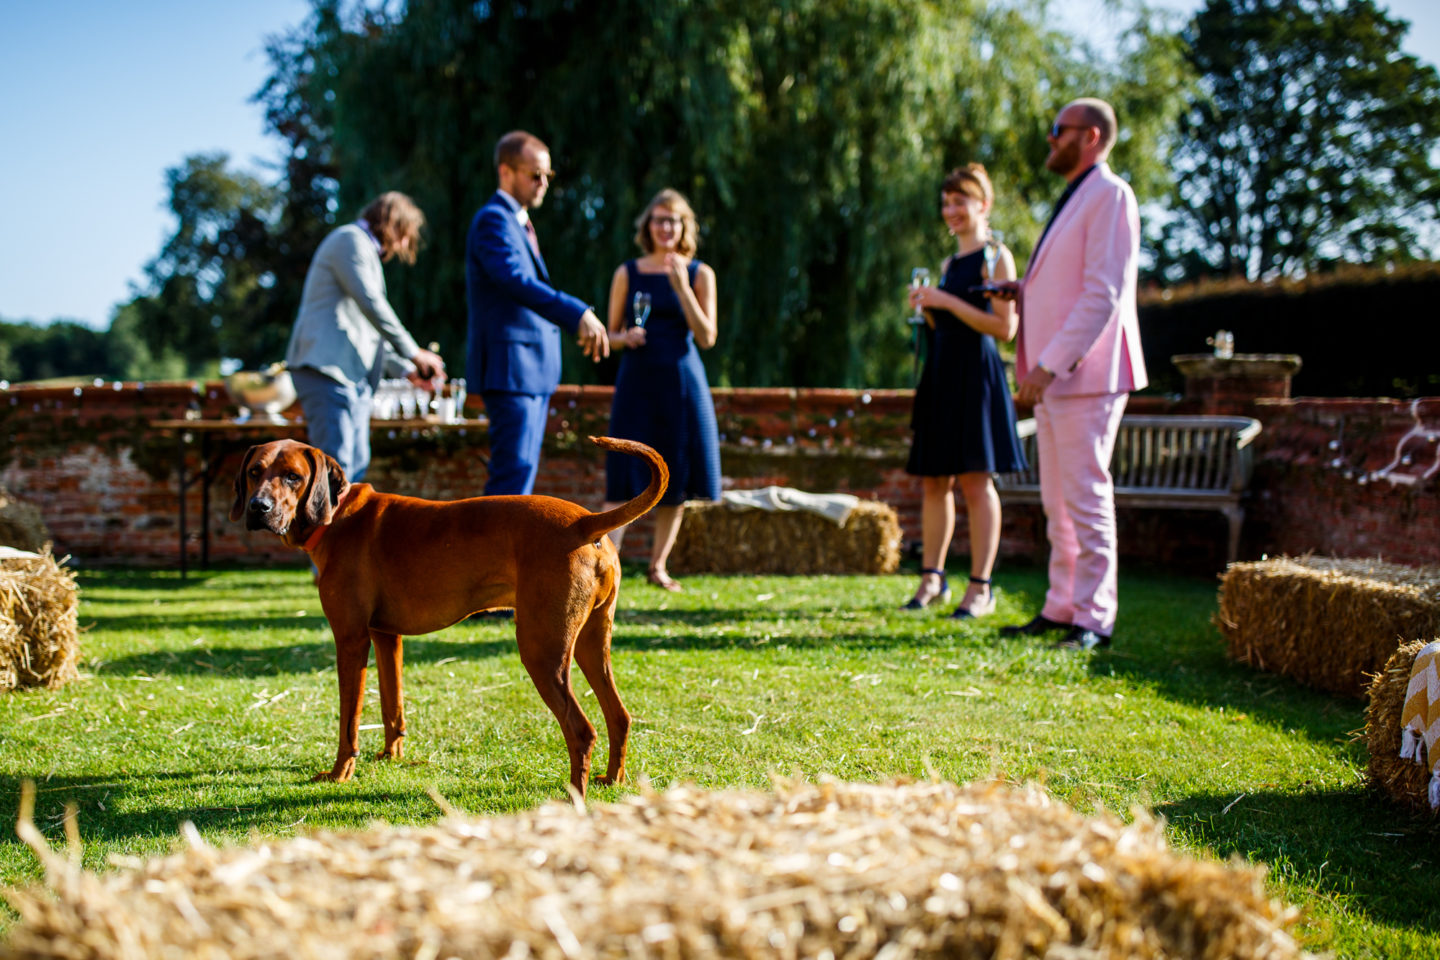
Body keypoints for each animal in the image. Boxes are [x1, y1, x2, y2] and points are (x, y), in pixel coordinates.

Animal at [230, 434, 668, 794]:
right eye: (254, 472)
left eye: (293, 477)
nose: (258, 508)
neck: (337, 516)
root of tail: (585, 522)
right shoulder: (386, 637)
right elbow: (392, 705)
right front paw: (390, 756)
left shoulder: (351, 640)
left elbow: (348, 720)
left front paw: (340, 773)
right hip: (591, 645)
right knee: (619, 716)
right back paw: (612, 779)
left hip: (541, 651)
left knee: (581, 730)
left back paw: (574, 796)